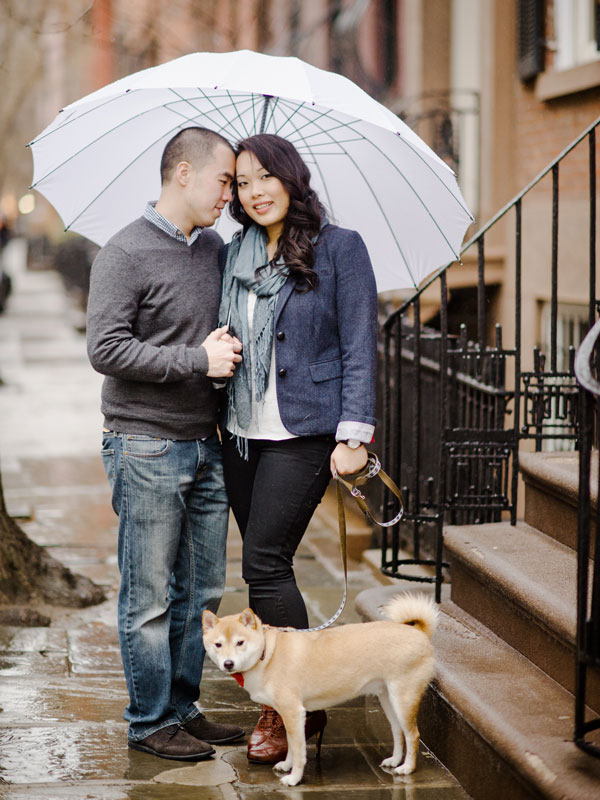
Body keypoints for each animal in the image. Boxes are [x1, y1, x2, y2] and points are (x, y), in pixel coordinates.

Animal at [202, 592, 437, 786]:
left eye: (240, 642)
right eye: (218, 645)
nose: (228, 664)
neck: (268, 653)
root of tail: (417, 631)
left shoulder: (293, 713)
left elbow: (298, 752)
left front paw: (294, 778)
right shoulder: (289, 716)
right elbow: (290, 744)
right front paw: (286, 765)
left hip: (403, 699)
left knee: (413, 734)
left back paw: (407, 768)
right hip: (388, 700)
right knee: (398, 732)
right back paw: (395, 760)